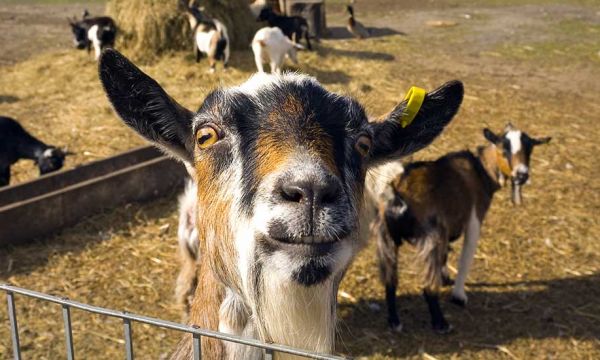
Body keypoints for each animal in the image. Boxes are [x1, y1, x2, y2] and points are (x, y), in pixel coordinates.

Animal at [372, 125, 552, 334]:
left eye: (529, 149)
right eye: (504, 149)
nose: (522, 175)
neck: (480, 171)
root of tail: (397, 194)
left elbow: (445, 256)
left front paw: (445, 278)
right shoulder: (473, 219)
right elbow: (465, 259)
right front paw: (459, 295)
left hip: (386, 236)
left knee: (390, 281)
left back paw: (394, 321)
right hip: (430, 237)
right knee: (427, 286)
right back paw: (441, 323)